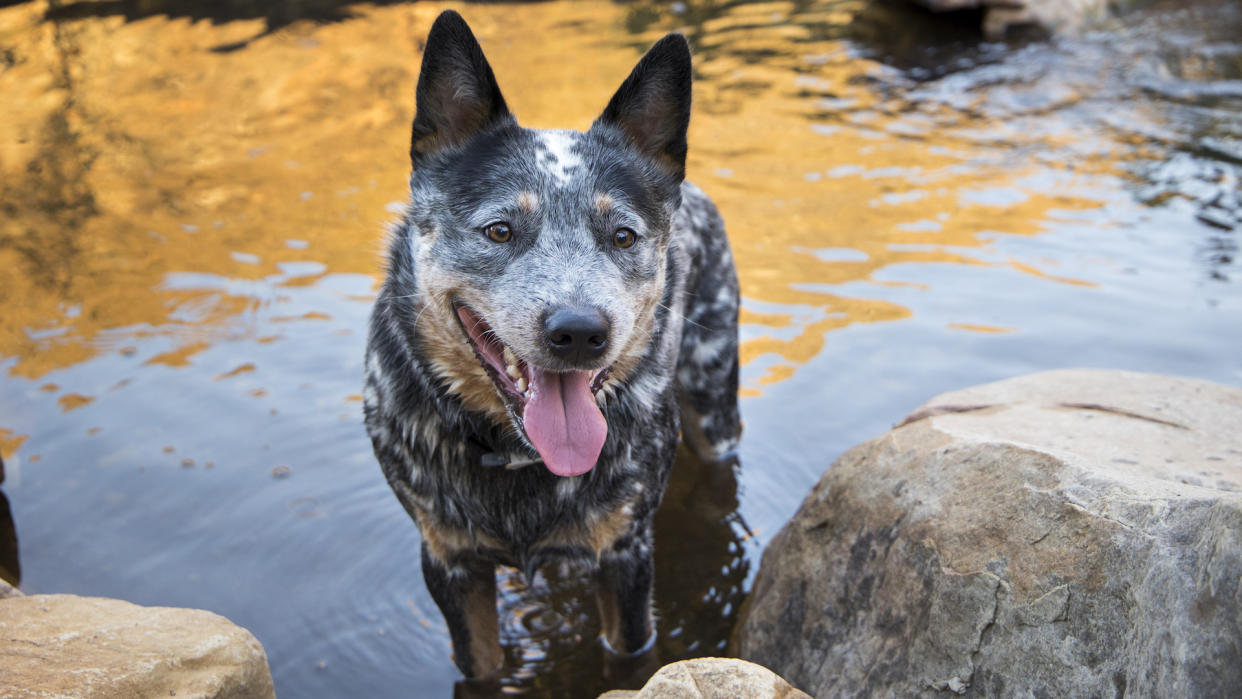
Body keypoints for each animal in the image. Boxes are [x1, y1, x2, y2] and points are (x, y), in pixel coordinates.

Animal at [362, 9, 740, 680]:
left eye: (622, 236)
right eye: (499, 231)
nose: (580, 331)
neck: (519, 458)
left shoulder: (625, 554)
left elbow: (630, 657)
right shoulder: (449, 561)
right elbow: (481, 664)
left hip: (714, 398)